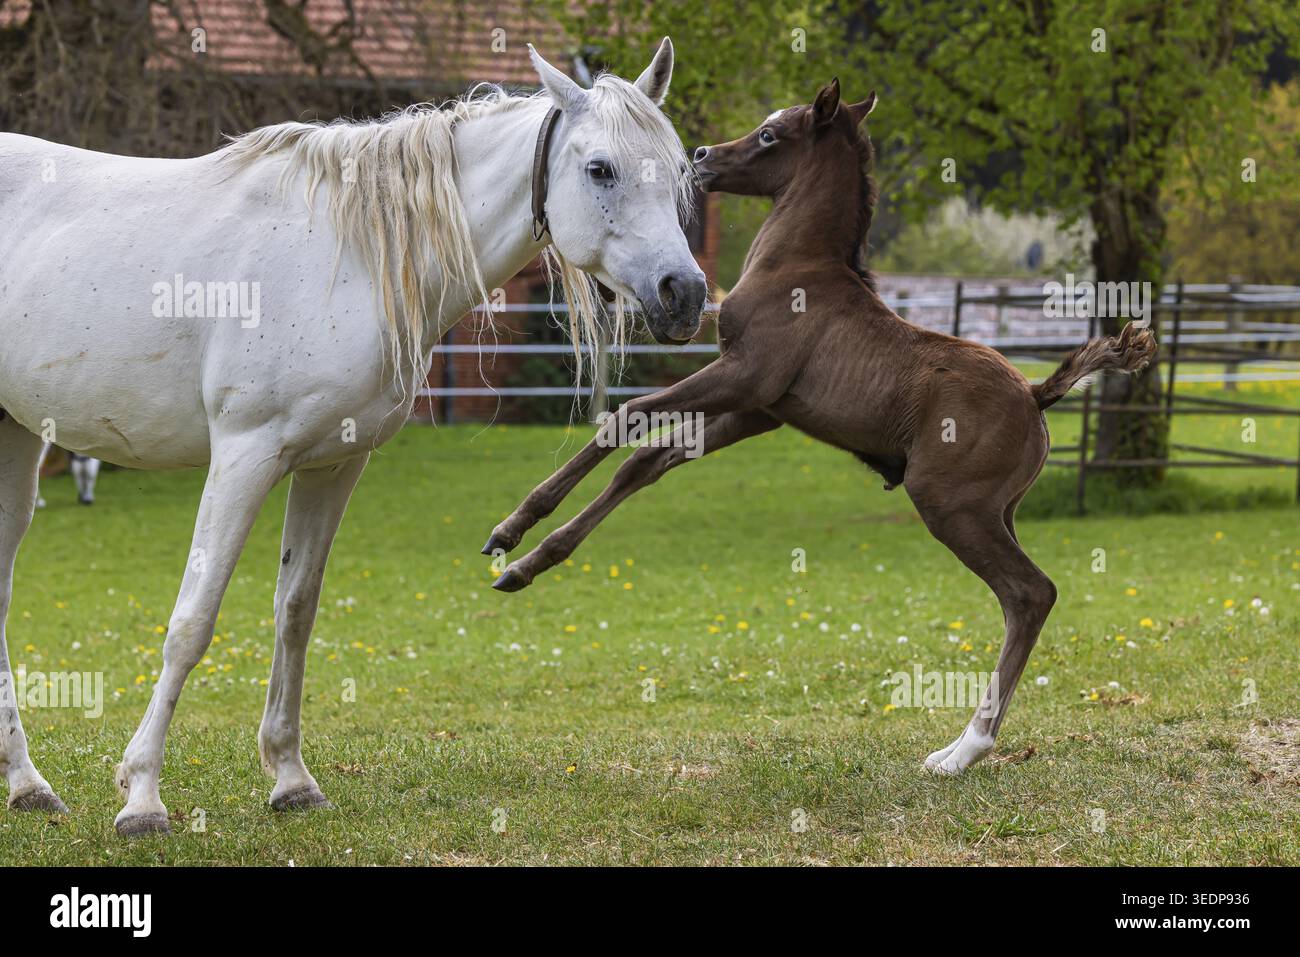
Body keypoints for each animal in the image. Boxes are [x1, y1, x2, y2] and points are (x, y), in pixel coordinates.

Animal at [0, 39, 705, 836]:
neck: (349, 257)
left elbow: (295, 612)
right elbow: (193, 622)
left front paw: (291, 779)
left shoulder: (332, 465)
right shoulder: (243, 457)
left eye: (677, 168)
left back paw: (28, 785)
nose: (685, 294)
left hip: (19, 436)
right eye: (600, 169)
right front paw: (143, 794)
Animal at [482, 78, 1156, 776]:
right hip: (1001, 511)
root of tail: (1035, 393)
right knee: (1022, 597)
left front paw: (513, 527)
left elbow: (626, 418)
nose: (702, 156)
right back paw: (954, 746)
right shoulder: (760, 409)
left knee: (1030, 594)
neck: (796, 268)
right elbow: (650, 458)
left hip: (952, 506)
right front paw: (528, 562)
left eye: (770, 134)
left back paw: (965, 750)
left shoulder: (744, 375)